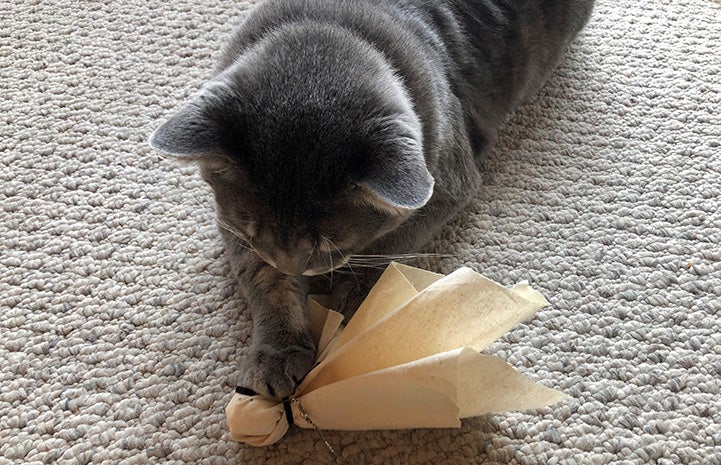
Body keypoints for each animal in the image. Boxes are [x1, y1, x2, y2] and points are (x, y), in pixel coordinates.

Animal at [149, 0, 592, 398]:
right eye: (253, 228)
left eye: (330, 242)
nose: (293, 265)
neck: (328, 20)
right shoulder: (232, 228)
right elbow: (264, 278)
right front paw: (276, 353)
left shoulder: (447, 187)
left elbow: (390, 241)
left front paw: (357, 296)